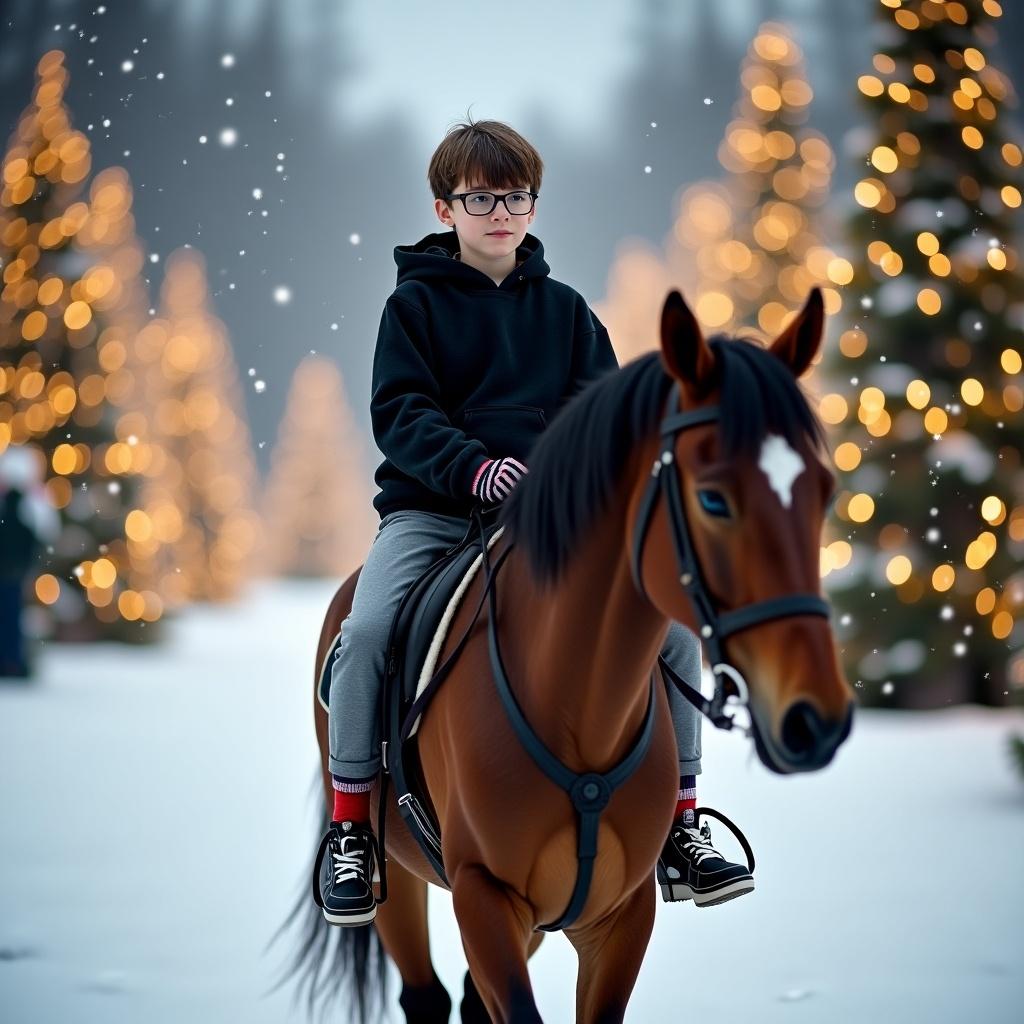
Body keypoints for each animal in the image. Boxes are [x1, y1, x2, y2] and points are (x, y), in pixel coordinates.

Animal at [274, 288, 856, 1024]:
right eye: (713, 498)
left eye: (824, 491)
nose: (817, 719)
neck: (574, 702)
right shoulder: (484, 897)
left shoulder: (617, 915)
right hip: (399, 881)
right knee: (424, 992)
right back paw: (349, 869)